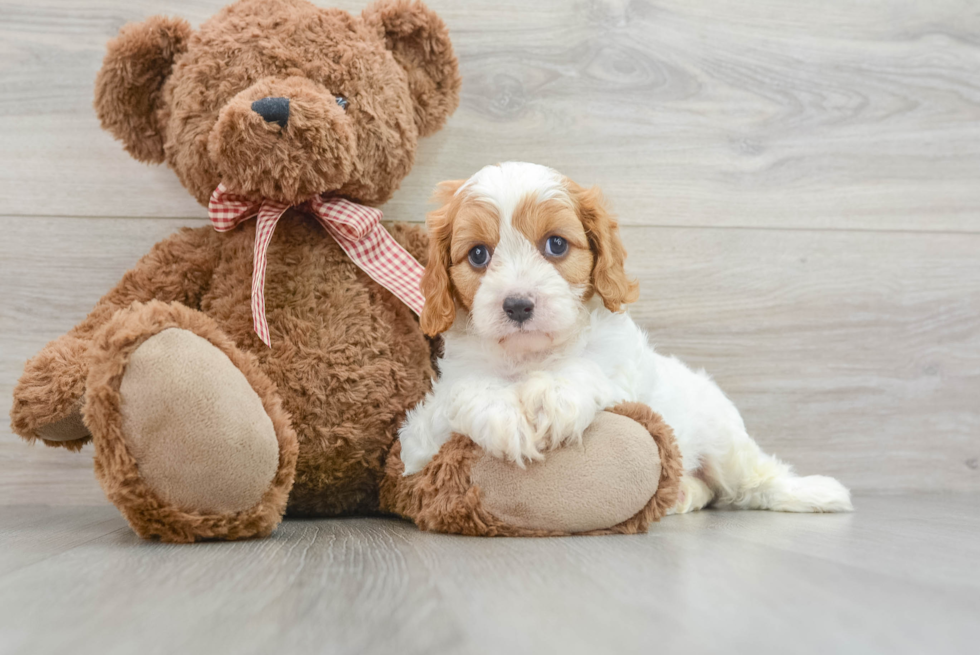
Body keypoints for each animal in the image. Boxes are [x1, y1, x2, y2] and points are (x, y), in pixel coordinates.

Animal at [398, 161, 848, 516]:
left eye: (556, 244)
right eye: (478, 254)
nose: (518, 305)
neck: (531, 357)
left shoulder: (621, 378)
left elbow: (587, 371)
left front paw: (551, 397)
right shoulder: (419, 441)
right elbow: (461, 395)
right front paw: (504, 413)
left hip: (724, 440)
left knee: (754, 479)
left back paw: (817, 493)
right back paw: (682, 493)